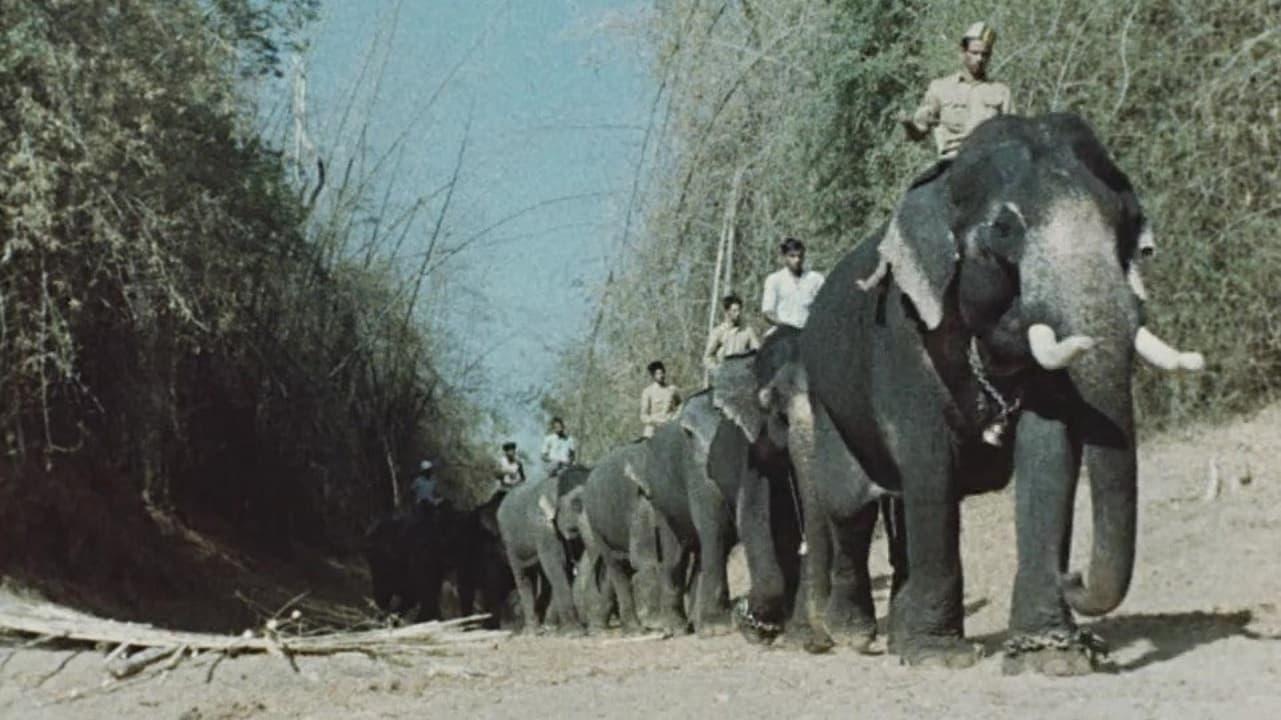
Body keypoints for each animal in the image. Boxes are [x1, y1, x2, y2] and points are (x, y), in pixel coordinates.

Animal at [494, 466, 589, 627]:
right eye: (576, 504)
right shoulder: (542, 527)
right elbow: (557, 562)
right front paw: (575, 629)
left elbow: (566, 565)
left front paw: (556, 626)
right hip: (508, 540)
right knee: (523, 575)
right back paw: (532, 628)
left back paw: (545, 624)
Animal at [758, 113, 1173, 671]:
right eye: (1004, 229)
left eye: (1128, 222)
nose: (1074, 575)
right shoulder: (903, 335)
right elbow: (929, 464)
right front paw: (939, 656)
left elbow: (1049, 455)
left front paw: (1052, 657)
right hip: (828, 398)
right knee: (850, 500)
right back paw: (853, 636)